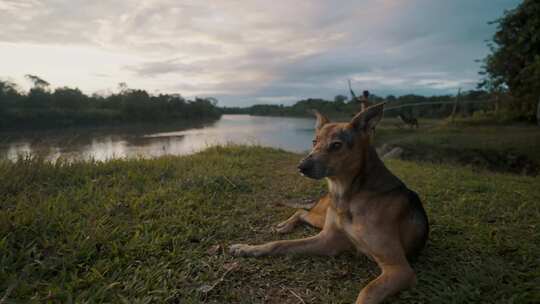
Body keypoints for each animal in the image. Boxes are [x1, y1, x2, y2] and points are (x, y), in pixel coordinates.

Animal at [230, 102, 428, 304]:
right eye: (314, 142)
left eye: (336, 145)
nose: (301, 167)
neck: (348, 194)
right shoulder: (327, 239)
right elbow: (278, 244)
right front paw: (247, 248)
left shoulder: (400, 269)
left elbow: (368, 291)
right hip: (321, 218)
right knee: (302, 212)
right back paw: (284, 225)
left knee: (303, 212)